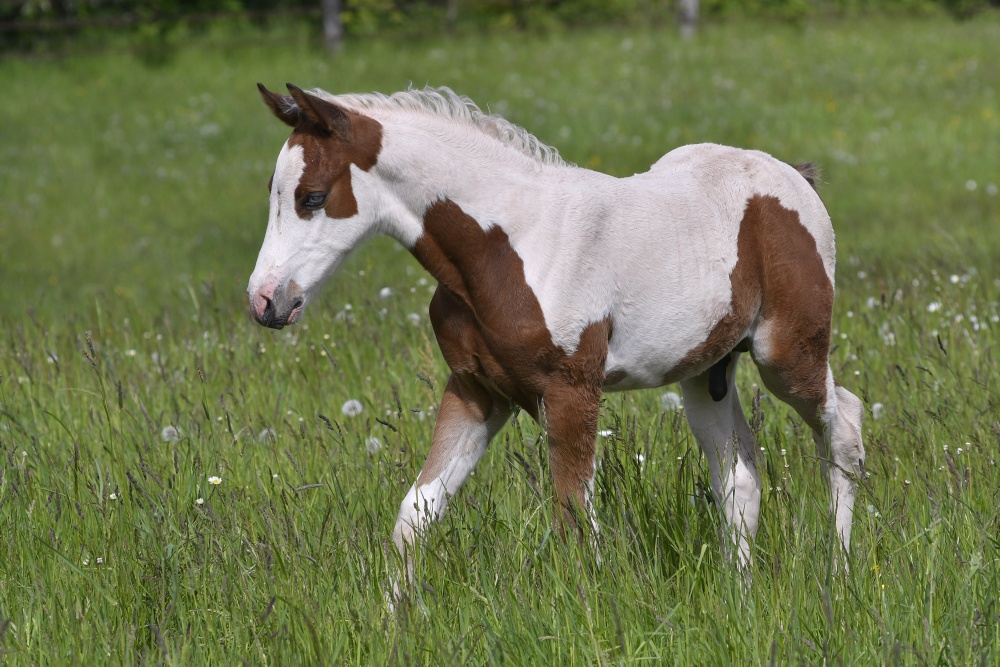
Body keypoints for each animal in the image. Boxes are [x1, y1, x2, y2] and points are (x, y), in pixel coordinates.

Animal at [246, 83, 864, 580]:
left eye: (312, 197)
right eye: (274, 192)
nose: (265, 301)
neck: (510, 245)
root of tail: (794, 177)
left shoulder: (570, 393)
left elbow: (574, 521)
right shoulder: (477, 391)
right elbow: (415, 515)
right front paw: (396, 625)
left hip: (786, 356)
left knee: (844, 427)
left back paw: (837, 574)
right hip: (705, 373)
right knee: (739, 475)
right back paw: (741, 594)